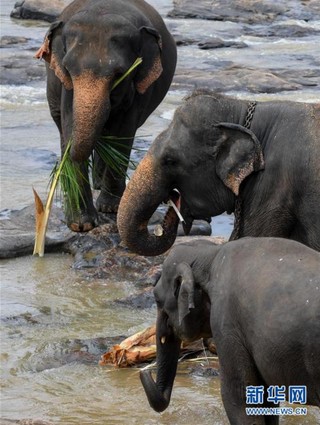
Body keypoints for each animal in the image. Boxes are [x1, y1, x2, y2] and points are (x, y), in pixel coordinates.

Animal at [36, 0, 176, 230]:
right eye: (68, 69)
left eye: (119, 73)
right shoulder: (65, 85)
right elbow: (69, 123)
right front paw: (81, 225)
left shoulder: (138, 87)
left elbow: (123, 131)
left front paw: (109, 209)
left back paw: (100, 185)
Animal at [141, 237, 320, 422]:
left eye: (157, 299)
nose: (144, 372)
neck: (211, 255)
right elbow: (265, 398)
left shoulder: (227, 323)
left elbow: (237, 395)